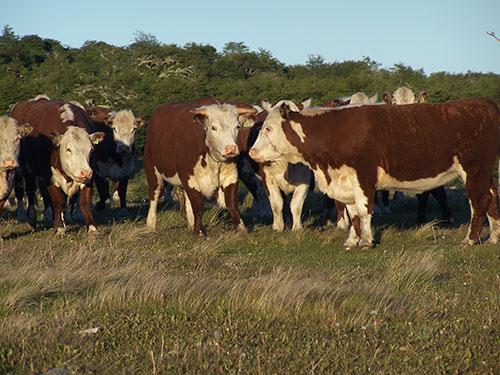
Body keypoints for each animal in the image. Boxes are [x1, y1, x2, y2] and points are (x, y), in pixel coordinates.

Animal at [10, 96, 105, 235]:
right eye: (68, 149)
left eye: (91, 149)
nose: (85, 172)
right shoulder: (50, 177)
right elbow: (57, 202)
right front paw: (59, 227)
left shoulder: (89, 177)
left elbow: (85, 202)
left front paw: (92, 228)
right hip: (25, 170)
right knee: (30, 192)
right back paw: (31, 220)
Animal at [144, 100, 254, 235]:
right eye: (214, 127)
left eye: (237, 126)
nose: (231, 148)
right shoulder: (189, 178)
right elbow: (198, 205)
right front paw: (200, 231)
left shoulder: (230, 176)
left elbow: (231, 203)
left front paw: (240, 227)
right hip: (153, 171)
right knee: (154, 196)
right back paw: (151, 225)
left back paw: (191, 224)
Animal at [250, 98, 500, 248]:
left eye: (268, 128)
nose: (252, 152)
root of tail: (482, 103)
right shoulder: (346, 181)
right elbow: (353, 214)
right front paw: (352, 241)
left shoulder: (363, 176)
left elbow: (363, 210)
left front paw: (367, 241)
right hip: (484, 173)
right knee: (492, 197)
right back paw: (494, 237)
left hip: (474, 169)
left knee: (478, 201)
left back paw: (470, 240)